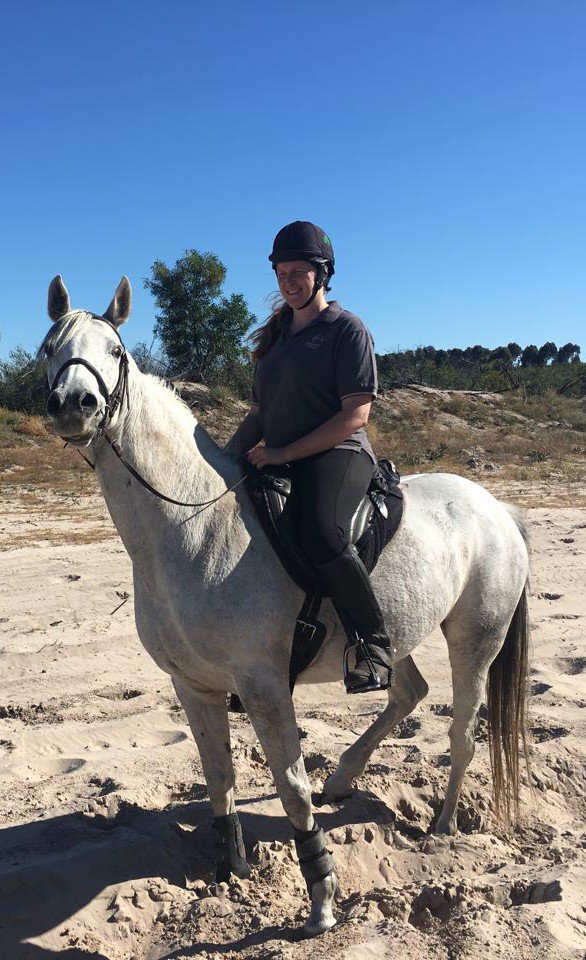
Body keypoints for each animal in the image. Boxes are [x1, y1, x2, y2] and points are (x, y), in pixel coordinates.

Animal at [39, 275, 531, 936]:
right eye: (50, 348)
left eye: (115, 351)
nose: (75, 403)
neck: (194, 524)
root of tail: (496, 507)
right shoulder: (192, 685)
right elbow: (219, 776)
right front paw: (233, 867)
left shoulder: (265, 685)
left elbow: (291, 786)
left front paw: (320, 898)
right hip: (391, 632)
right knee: (408, 691)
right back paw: (344, 778)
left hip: (475, 641)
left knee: (461, 734)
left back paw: (442, 825)